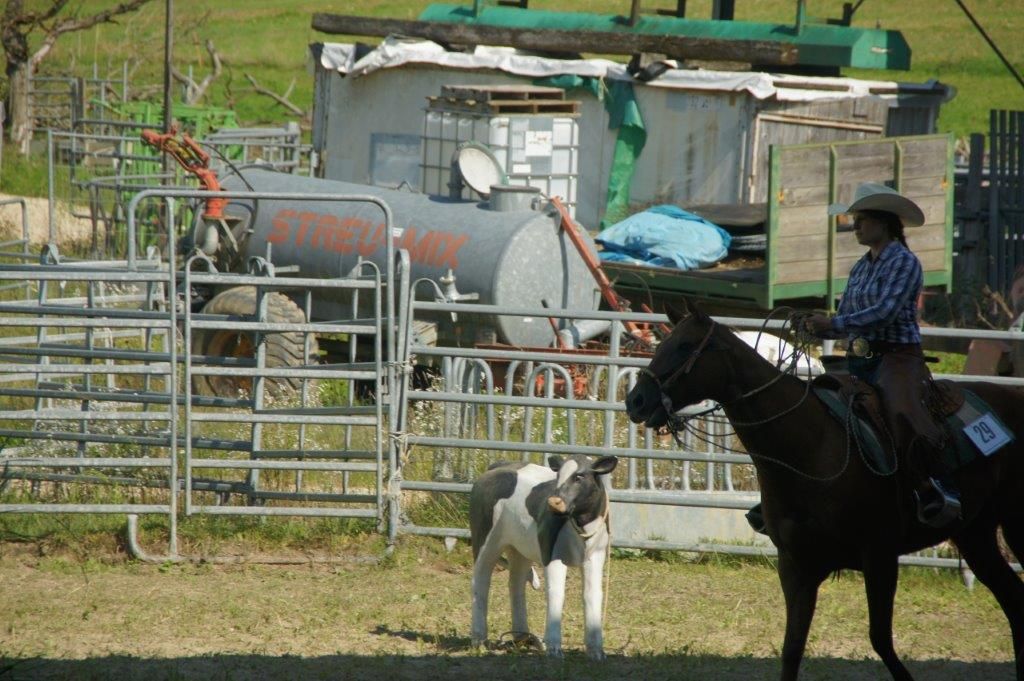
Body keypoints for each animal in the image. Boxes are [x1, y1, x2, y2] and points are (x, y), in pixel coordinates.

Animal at [624, 299, 1024, 681]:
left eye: (685, 345)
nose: (636, 400)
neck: (809, 445)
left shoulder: (879, 555)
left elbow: (881, 639)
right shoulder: (795, 566)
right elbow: (791, 650)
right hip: (974, 534)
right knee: (1013, 600)